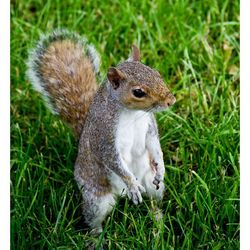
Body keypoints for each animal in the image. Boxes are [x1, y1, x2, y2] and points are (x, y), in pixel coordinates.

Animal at [26, 29, 176, 234]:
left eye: (157, 73)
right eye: (138, 92)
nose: (171, 100)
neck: (132, 113)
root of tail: (120, 195)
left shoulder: (149, 126)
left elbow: (154, 146)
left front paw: (160, 168)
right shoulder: (104, 135)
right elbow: (112, 160)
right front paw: (132, 184)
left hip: (153, 187)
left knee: (154, 201)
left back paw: (158, 224)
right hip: (97, 198)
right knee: (94, 219)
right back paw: (97, 236)